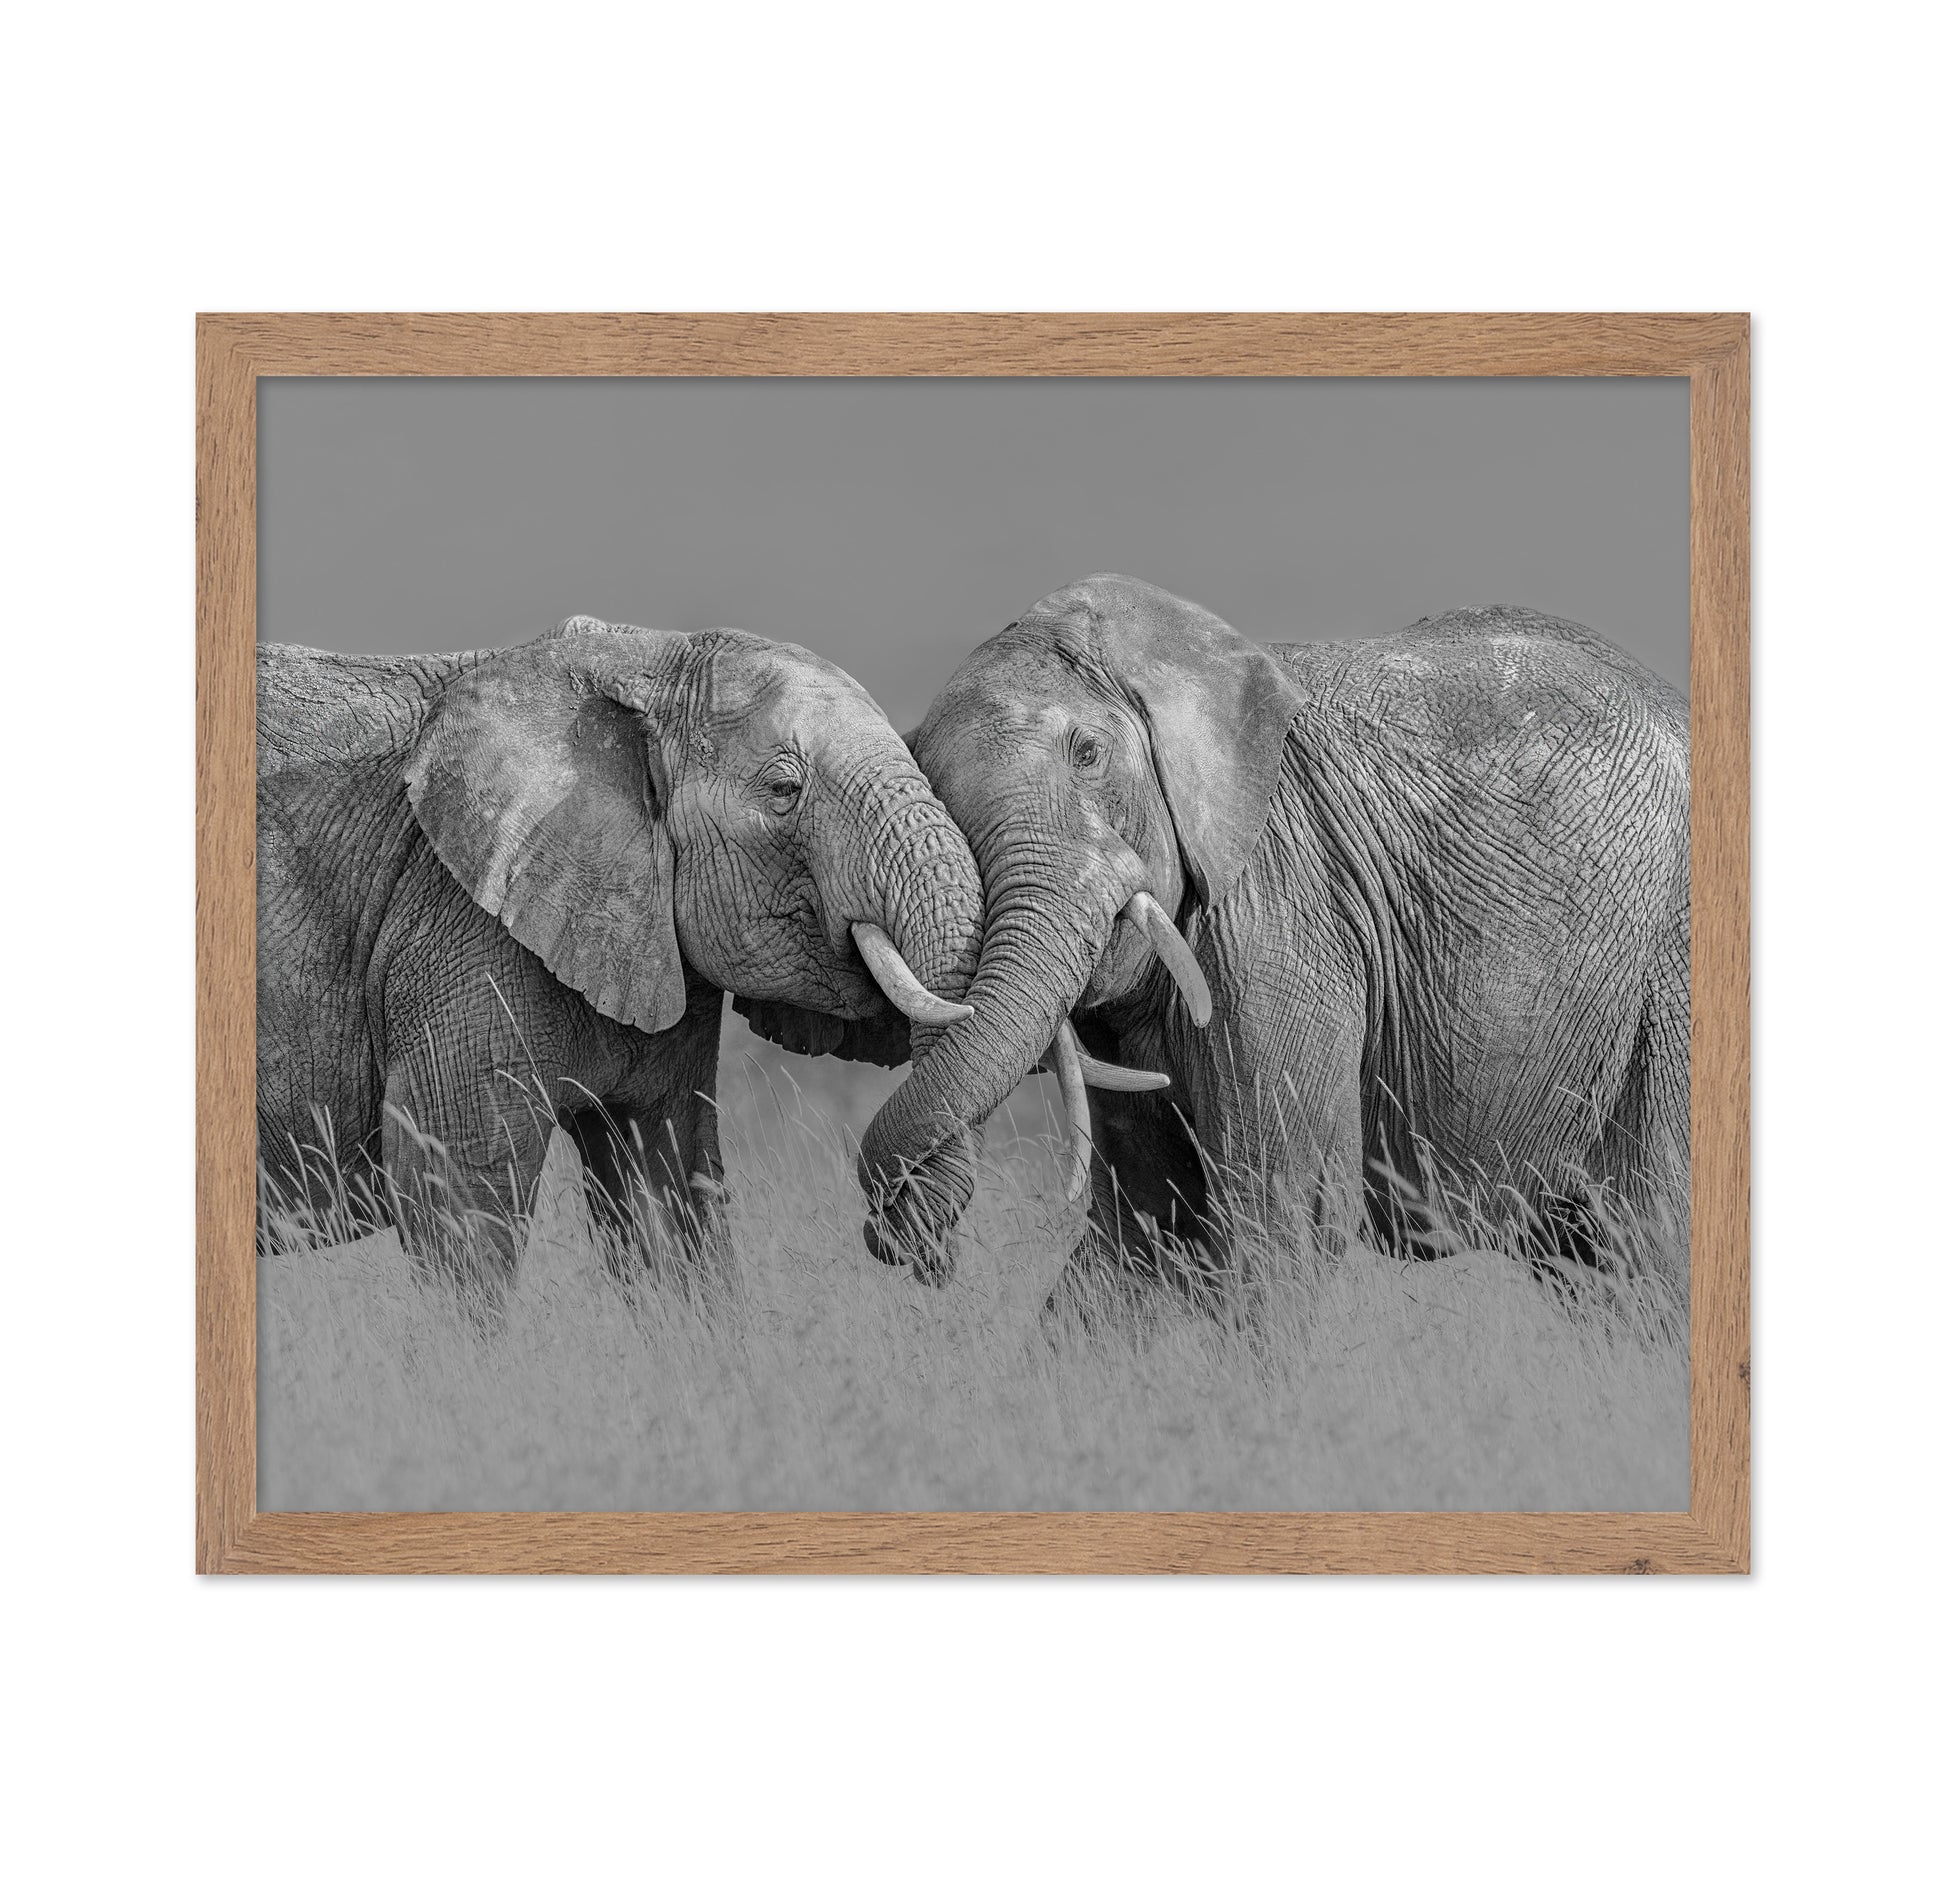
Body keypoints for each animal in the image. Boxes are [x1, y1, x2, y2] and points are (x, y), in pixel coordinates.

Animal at [256, 614, 983, 1279]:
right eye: (784, 791)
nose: (905, 1243)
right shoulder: (457, 927)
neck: (643, 659)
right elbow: (458, 1199)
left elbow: (667, 1193)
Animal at [842, 574, 1689, 1289]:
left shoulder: (1282, 905)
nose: (925, 1253)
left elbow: (1281, 1216)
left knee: (1652, 1245)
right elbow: (1142, 1231)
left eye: (1087, 753)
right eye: (931, 787)